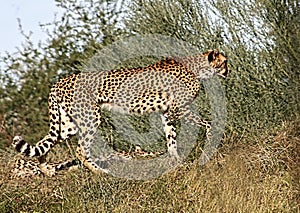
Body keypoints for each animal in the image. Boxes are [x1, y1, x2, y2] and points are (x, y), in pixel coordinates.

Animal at [11, 49, 227, 176]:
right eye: (224, 62)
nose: (229, 70)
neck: (197, 68)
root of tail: (59, 82)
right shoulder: (179, 108)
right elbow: (206, 124)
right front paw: (211, 137)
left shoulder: (167, 113)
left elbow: (171, 138)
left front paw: (175, 160)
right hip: (90, 118)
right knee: (81, 150)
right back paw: (99, 172)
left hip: (68, 125)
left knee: (44, 144)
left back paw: (47, 171)